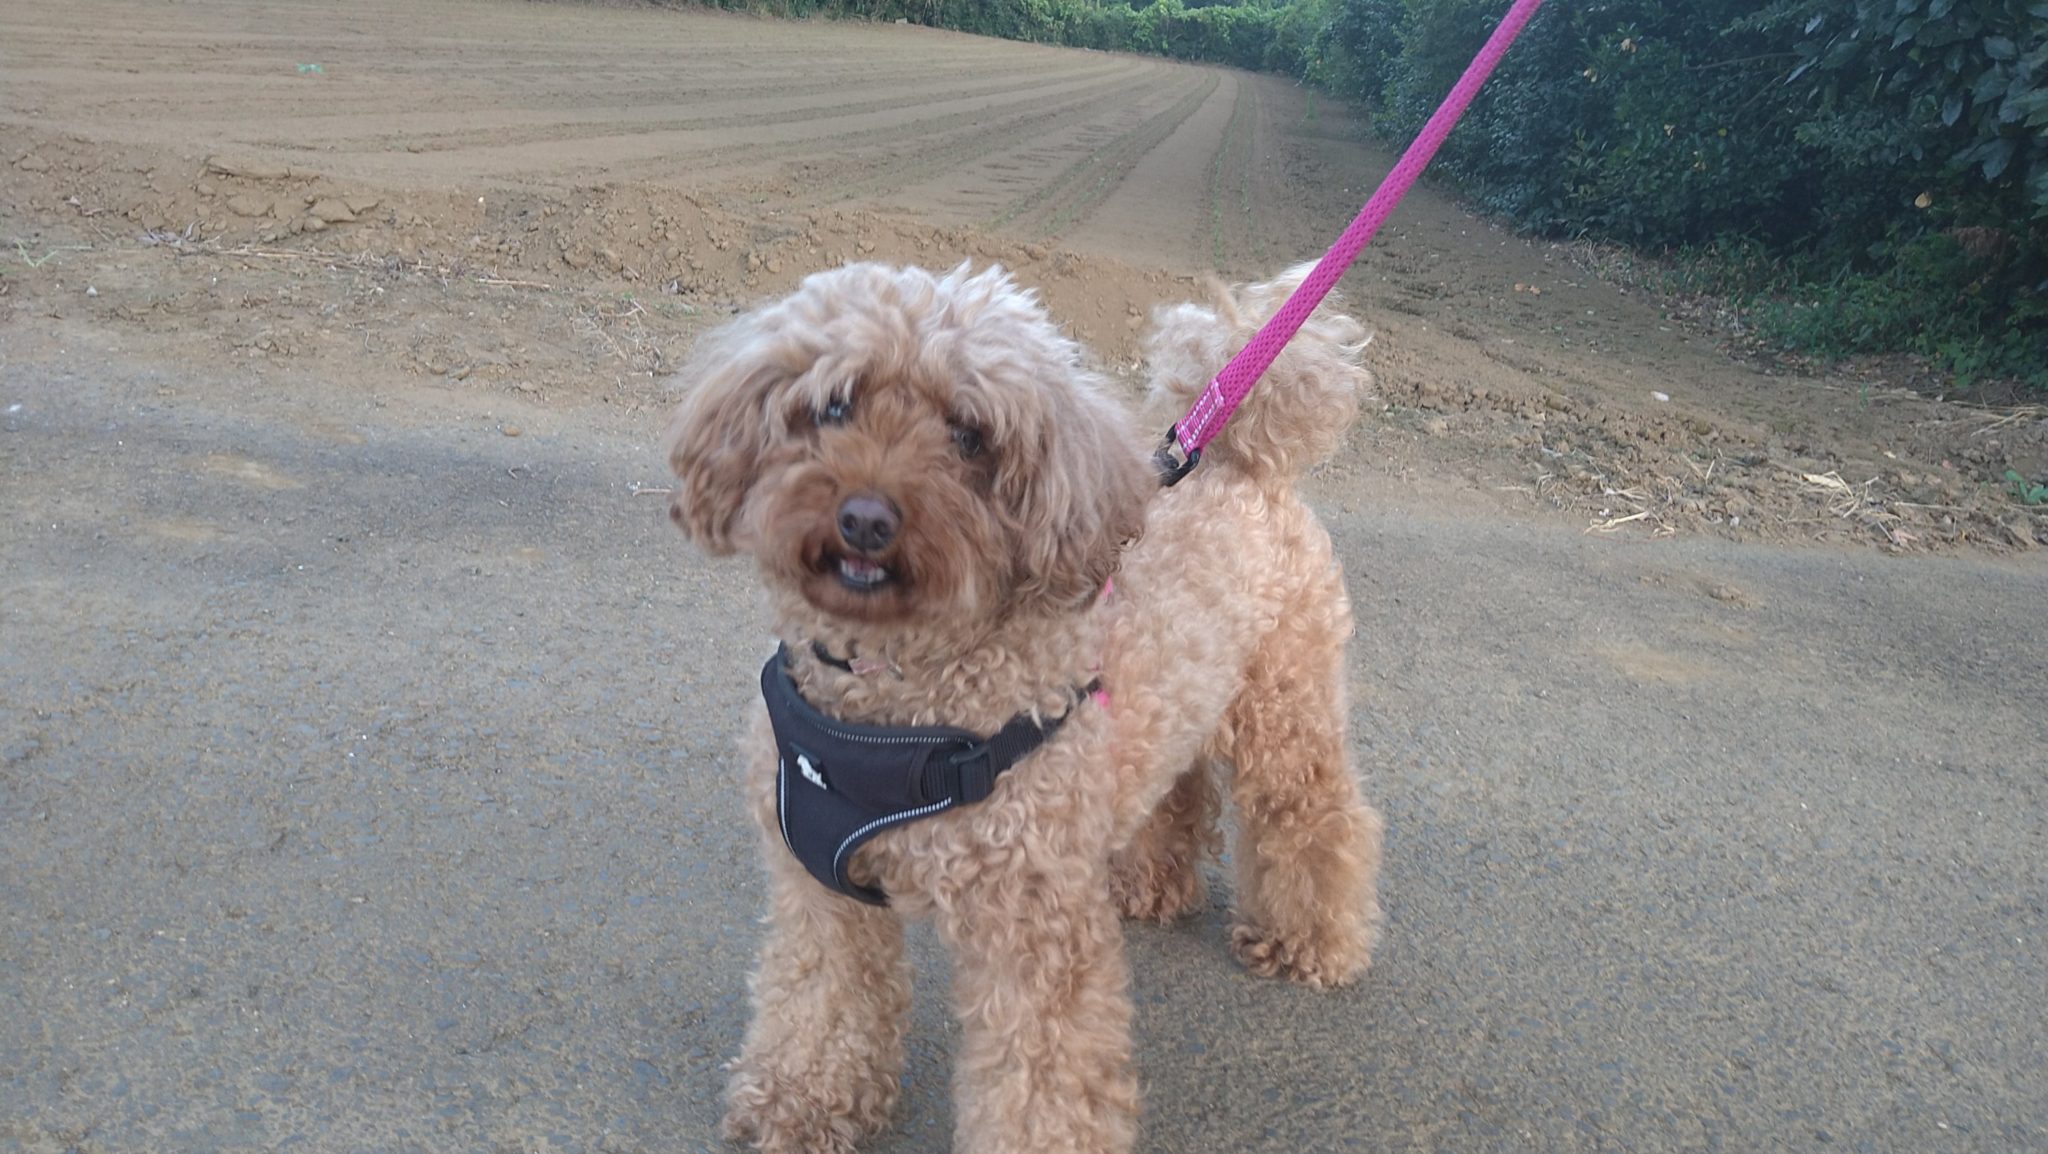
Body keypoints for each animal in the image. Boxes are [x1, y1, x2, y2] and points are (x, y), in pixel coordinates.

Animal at [663, 261, 1383, 1154]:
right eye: (833, 406)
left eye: (969, 435)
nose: (865, 517)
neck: (891, 702)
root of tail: (1240, 468)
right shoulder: (818, 887)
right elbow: (819, 1000)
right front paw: (800, 1101)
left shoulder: (1031, 929)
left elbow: (1040, 1078)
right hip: (1164, 708)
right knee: (1174, 787)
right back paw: (1148, 880)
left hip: (1286, 710)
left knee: (1317, 818)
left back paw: (1309, 938)